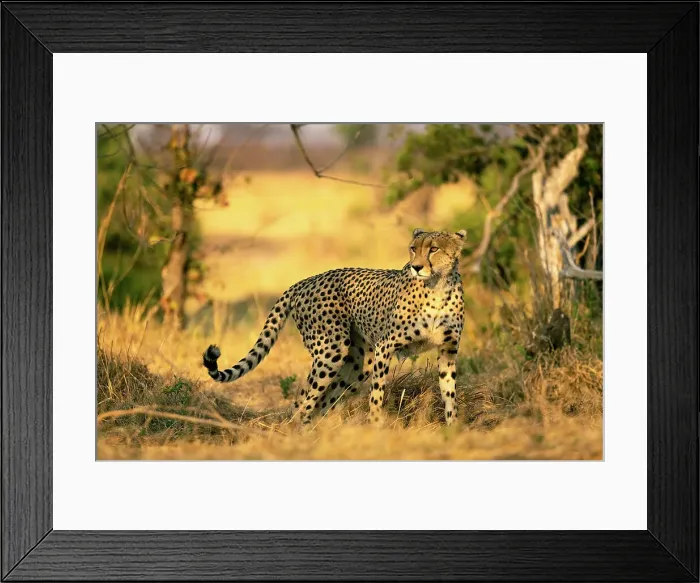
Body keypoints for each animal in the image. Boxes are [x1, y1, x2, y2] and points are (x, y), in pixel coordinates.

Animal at [202, 227, 467, 427]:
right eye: (414, 248)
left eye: (434, 249)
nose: (416, 266)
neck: (437, 286)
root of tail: (303, 281)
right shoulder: (384, 347)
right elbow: (377, 395)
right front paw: (376, 428)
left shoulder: (448, 350)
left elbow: (450, 393)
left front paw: (453, 429)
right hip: (331, 351)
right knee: (305, 401)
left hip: (357, 363)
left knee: (315, 401)